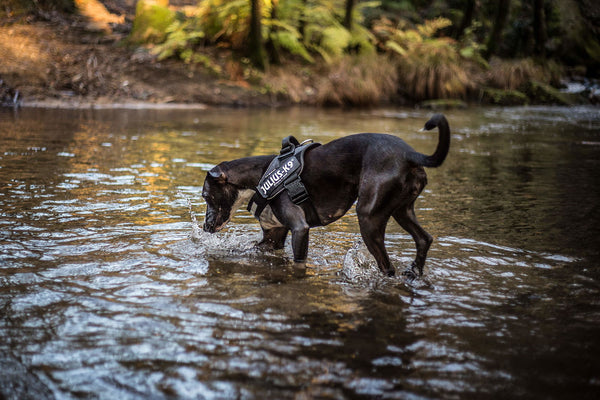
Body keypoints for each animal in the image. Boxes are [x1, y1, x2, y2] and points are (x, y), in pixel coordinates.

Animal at [203, 114, 450, 276]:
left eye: (206, 196)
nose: (205, 227)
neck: (260, 175)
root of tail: (409, 154)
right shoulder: (273, 237)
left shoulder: (299, 229)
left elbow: (298, 263)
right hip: (402, 210)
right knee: (424, 239)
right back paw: (414, 273)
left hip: (369, 218)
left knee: (387, 267)